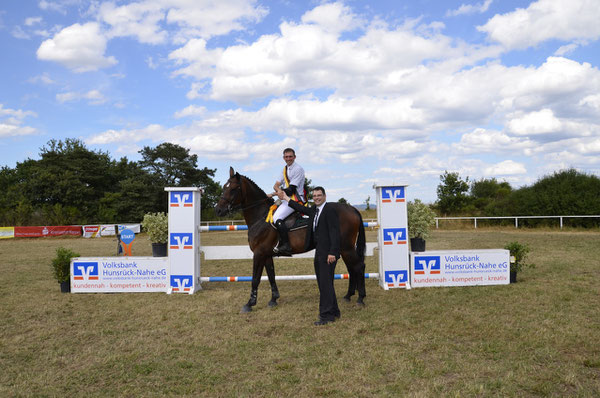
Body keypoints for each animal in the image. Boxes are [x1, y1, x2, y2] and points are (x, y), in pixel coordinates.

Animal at [213, 166, 368, 312]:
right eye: (224, 187)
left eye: (233, 189)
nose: (218, 210)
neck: (261, 217)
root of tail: (352, 209)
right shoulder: (266, 255)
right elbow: (271, 276)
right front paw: (273, 299)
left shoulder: (258, 253)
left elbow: (255, 279)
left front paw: (249, 304)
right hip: (343, 248)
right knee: (351, 268)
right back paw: (348, 296)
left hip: (346, 247)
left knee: (359, 266)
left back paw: (360, 298)